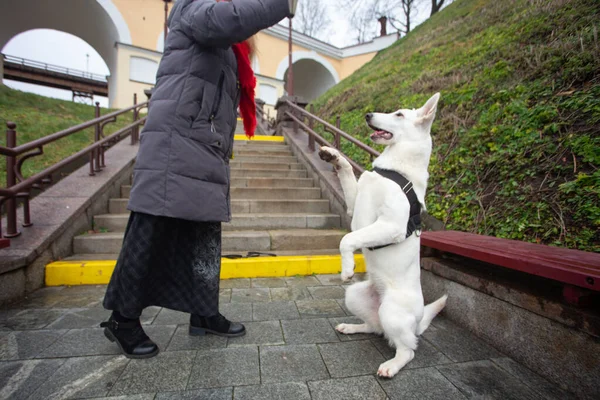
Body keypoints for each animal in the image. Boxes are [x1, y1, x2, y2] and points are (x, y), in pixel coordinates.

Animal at [322, 93, 448, 378]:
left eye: (399, 114)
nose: (368, 115)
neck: (397, 168)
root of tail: (418, 320)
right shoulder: (354, 204)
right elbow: (347, 170)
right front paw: (334, 155)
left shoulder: (391, 226)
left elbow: (347, 239)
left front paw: (347, 268)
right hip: (355, 297)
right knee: (376, 328)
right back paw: (353, 327)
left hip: (392, 311)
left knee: (408, 349)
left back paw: (391, 365)